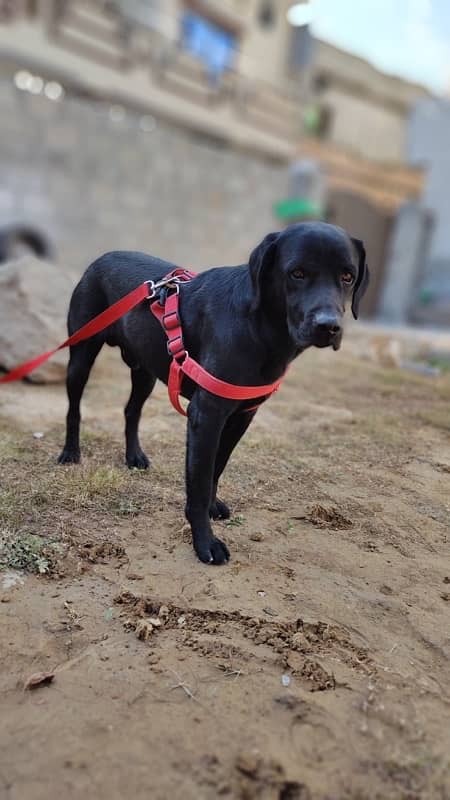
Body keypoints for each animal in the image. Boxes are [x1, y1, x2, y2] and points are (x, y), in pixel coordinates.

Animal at [58, 222, 370, 564]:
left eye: (347, 276)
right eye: (297, 273)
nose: (329, 326)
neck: (261, 328)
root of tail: (101, 257)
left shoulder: (242, 416)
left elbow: (216, 470)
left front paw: (212, 506)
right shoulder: (206, 415)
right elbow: (199, 480)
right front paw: (205, 542)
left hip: (146, 372)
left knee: (131, 411)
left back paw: (134, 456)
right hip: (81, 356)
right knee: (74, 409)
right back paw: (70, 453)